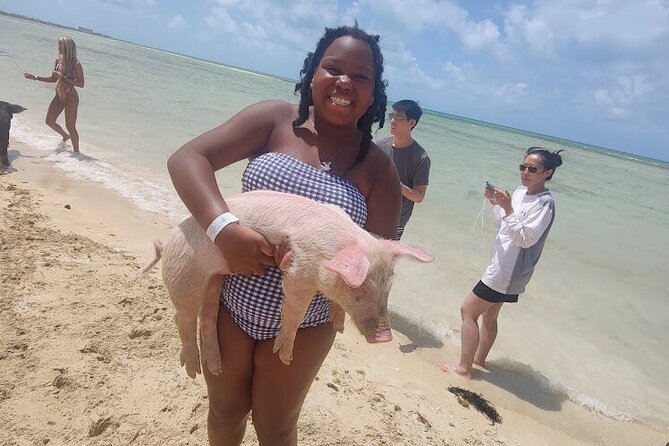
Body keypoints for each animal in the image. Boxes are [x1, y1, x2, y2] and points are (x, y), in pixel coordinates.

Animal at [144, 190, 434, 378]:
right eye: (360, 287)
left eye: (389, 285)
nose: (385, 337)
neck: (332, 247)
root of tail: (166, 244)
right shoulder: (299, 268)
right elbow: (295, 309)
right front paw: (284, 356)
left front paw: (338, 324)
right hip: (184, 275)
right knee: (181, 317)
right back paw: (193, 370)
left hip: (214, 281)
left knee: (206, 318)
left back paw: (214, 368)